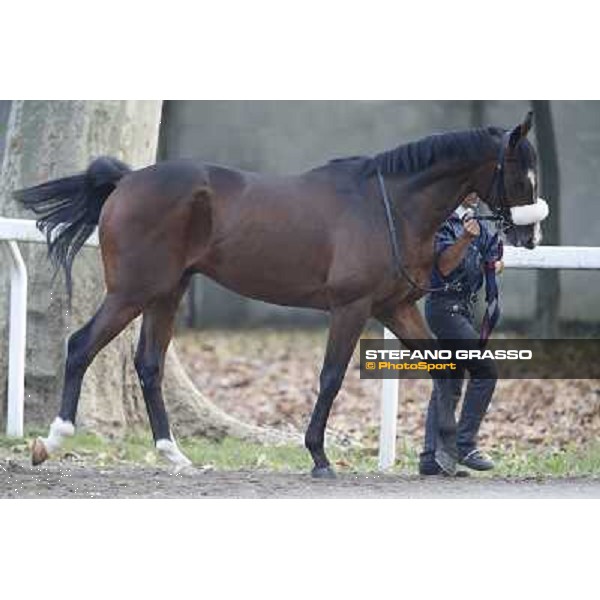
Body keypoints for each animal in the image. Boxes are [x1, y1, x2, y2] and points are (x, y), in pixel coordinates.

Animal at [15, 112, 548, 478]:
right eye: (522, 173)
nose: (531, 237)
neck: (388, 206)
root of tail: (126, 181)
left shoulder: (394, 307)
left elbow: (444, 365)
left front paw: (450, 455)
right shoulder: (351, 308)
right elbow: (331, 378)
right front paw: (319, 456)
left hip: (167, 292)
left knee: (148, 364)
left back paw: (173, 454)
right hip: (132, 291)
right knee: (81, 346)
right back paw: (53, 440)